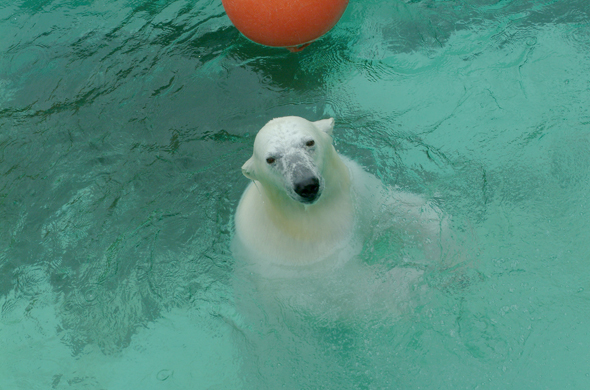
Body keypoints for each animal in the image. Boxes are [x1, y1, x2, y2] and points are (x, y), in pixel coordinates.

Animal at [234, 116, 446, 280]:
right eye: (270, 159)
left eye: (309, 142)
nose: (306, 184)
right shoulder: (313, 260)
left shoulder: (360, 192)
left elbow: (403, 209)